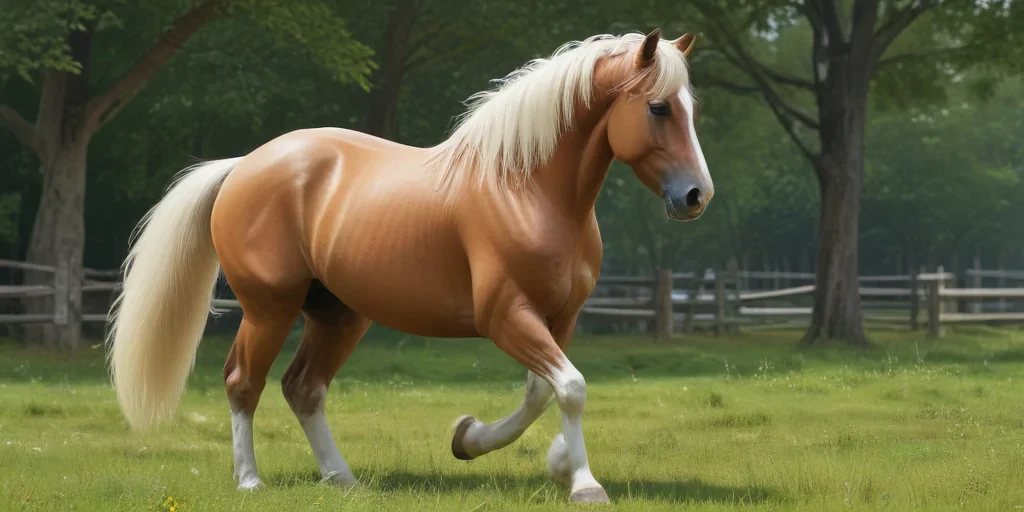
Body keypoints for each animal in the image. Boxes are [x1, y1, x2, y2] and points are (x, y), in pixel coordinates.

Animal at [107, 29, 712, 504]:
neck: (525, 189)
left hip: (338, 315)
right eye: (659, 107)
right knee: (243, 382)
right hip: (268, 309)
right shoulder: (506, 317)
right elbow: (571, 387)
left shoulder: (560, 319)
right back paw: (251, 481)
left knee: (303, 388)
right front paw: (585, 484)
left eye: (692, 109)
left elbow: (544, 392)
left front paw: (482, 443)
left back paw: (342, 479)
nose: (696, 196)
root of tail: (243, 166)